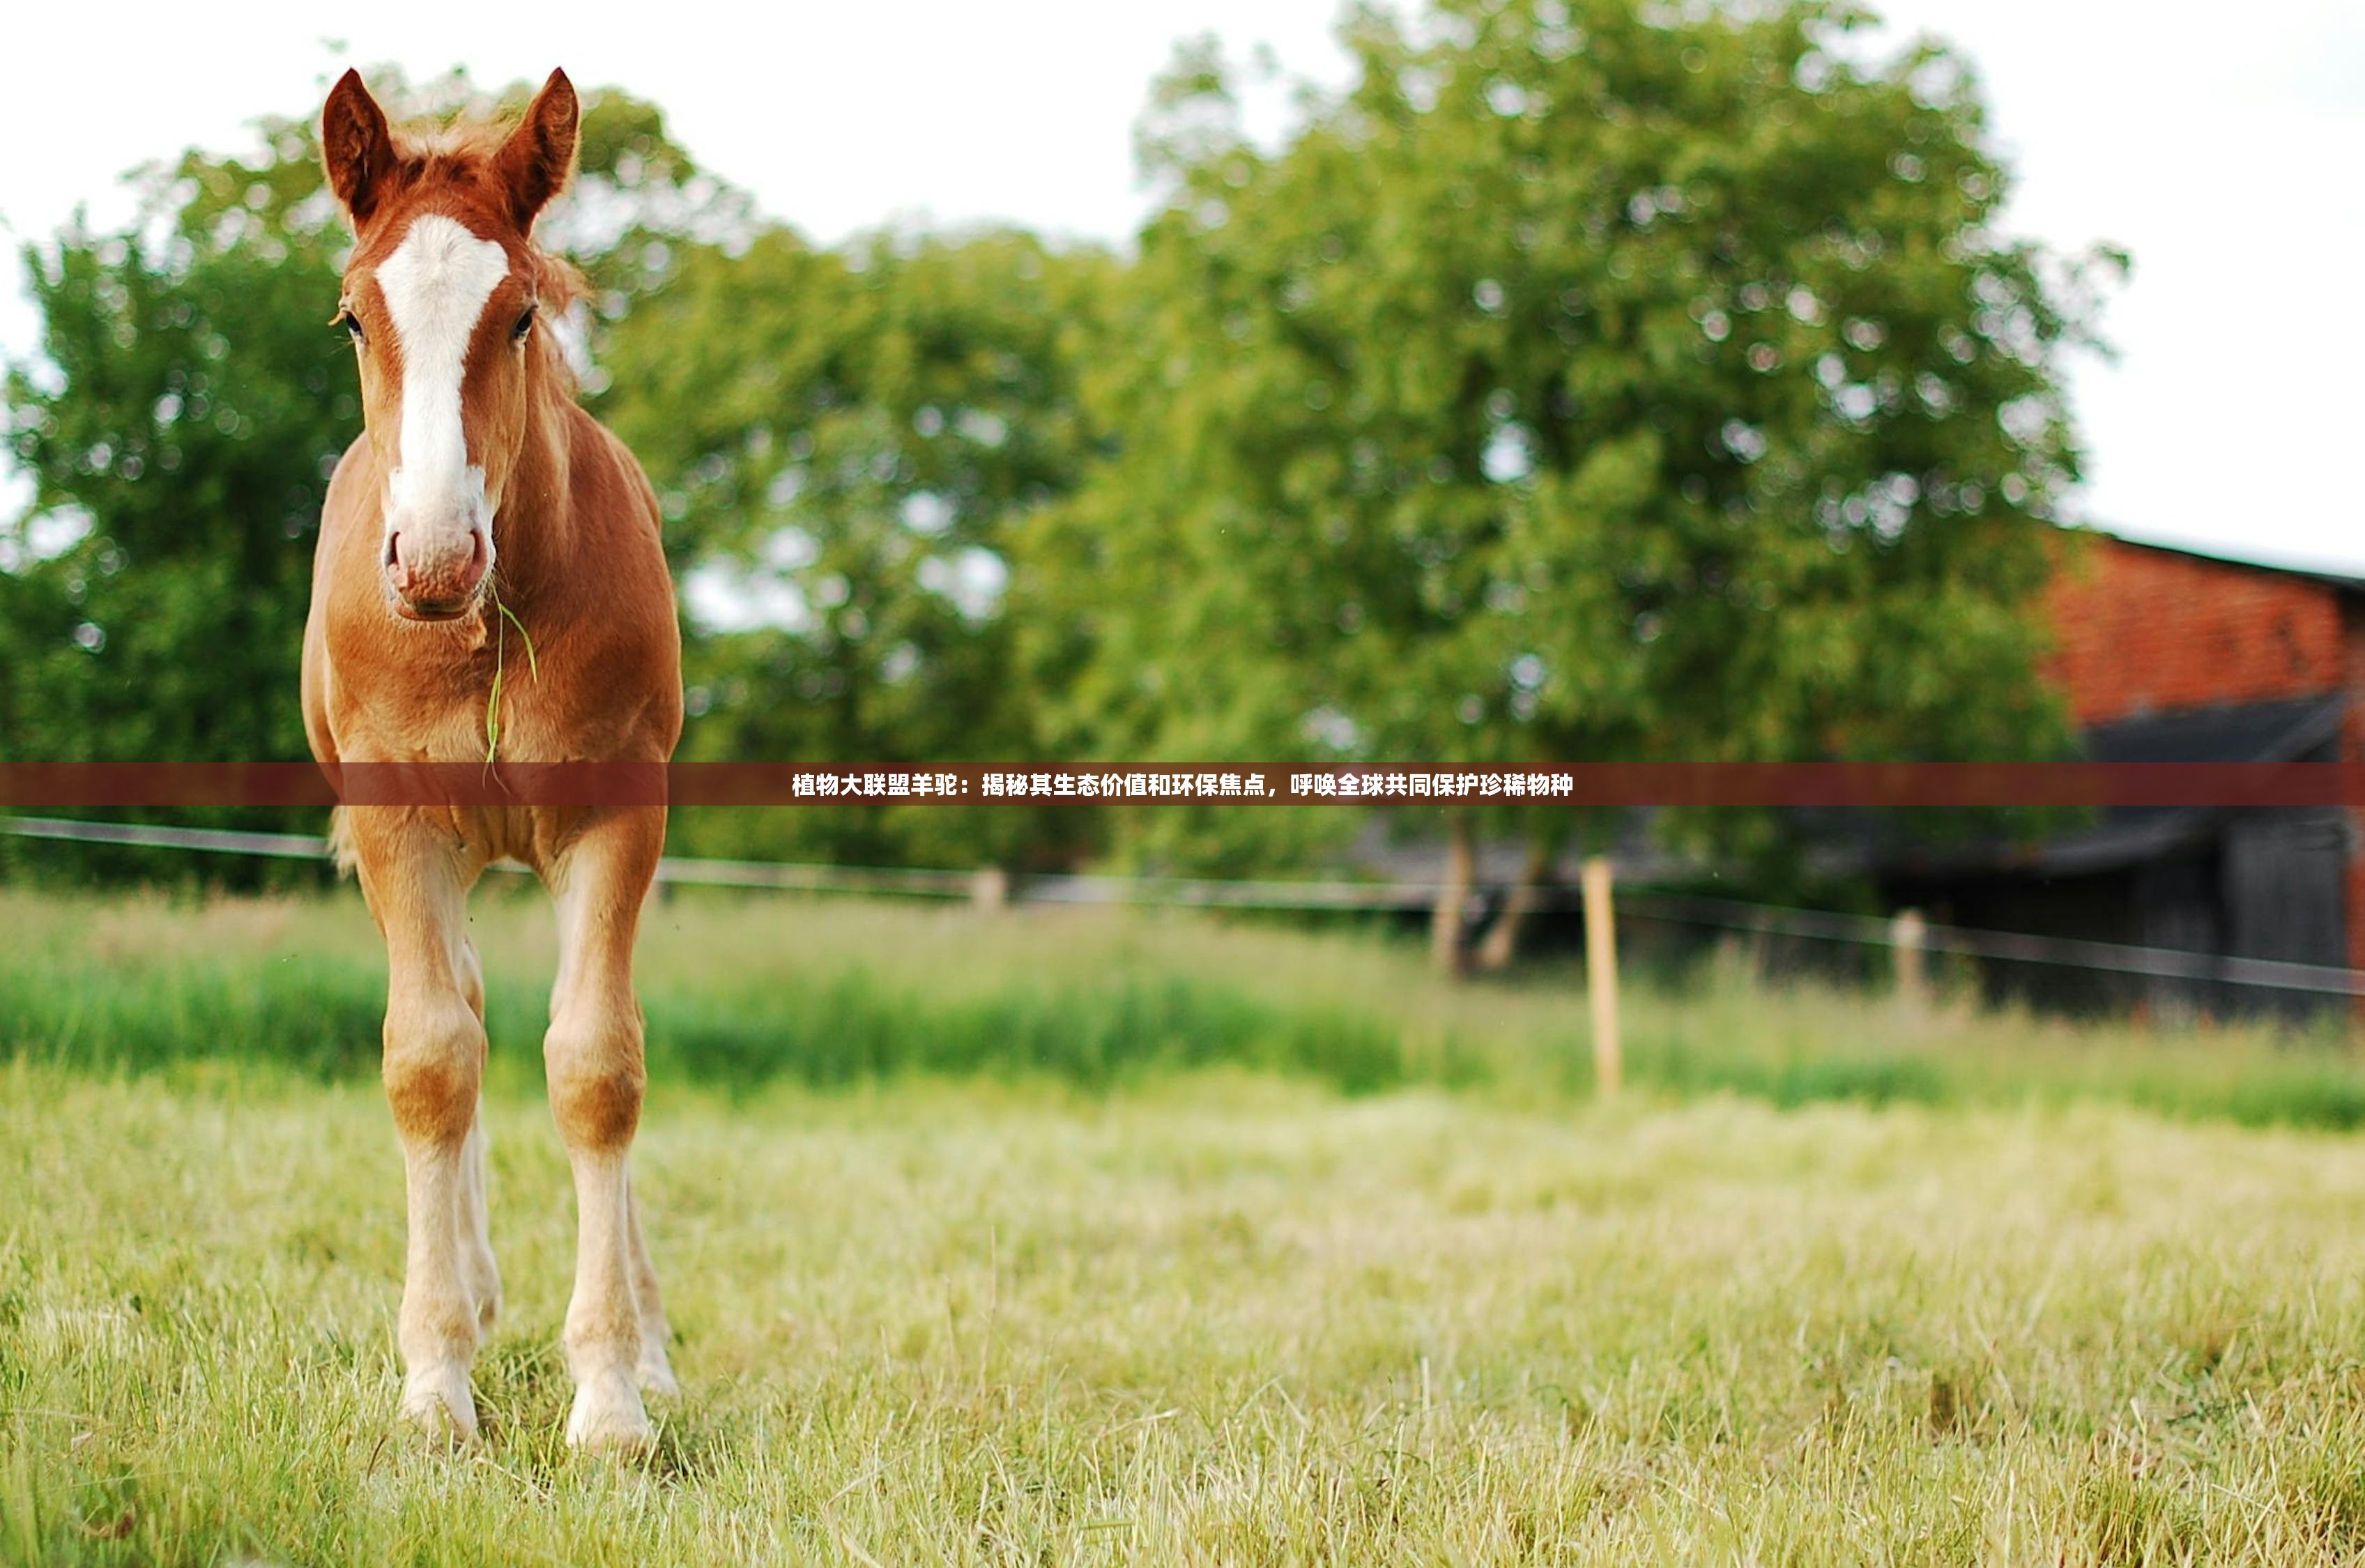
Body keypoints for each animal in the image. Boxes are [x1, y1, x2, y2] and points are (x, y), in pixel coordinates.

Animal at [300, 67, 681, 1456]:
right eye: (353, 318)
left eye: (519, 315)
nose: (431, 557)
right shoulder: (399, 827)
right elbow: (428, 1062)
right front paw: (434, 1386)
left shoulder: (619, 820)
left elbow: (598, 1065)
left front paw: (614, 1397)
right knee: (453, 1011)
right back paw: (465, 1290)